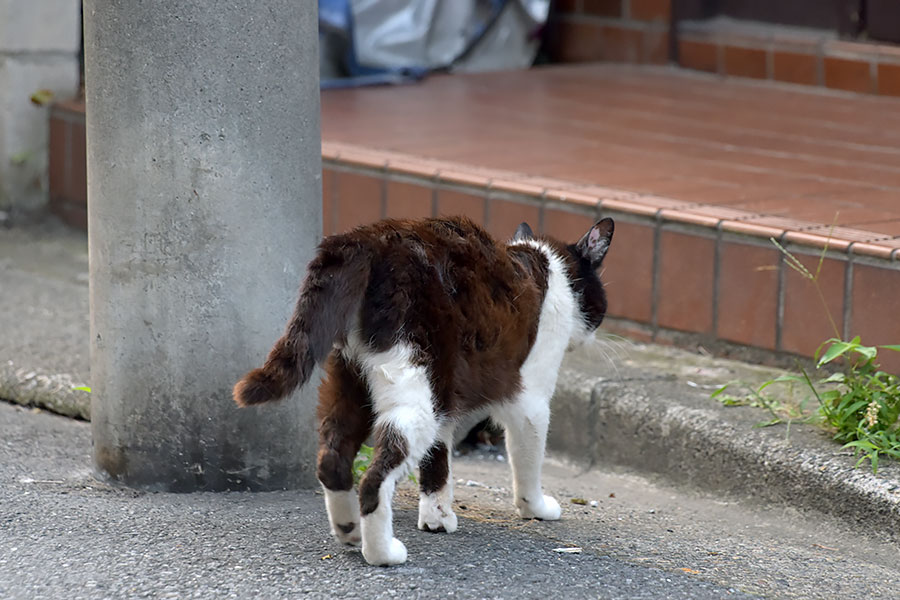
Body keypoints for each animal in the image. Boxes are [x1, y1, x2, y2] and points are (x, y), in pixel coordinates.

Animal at [234, 216, 612, 568]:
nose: (593, 335)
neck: (552, 267)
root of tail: (370, 237)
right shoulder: (531, 401)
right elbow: (528, 460)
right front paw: (535, 507)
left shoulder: (446, 394)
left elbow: (437, 459)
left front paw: (436, 516)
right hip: (414, 377)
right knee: (374, 477)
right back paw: (382, 553)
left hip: (357, 379)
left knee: (332, 458)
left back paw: (348, 529)